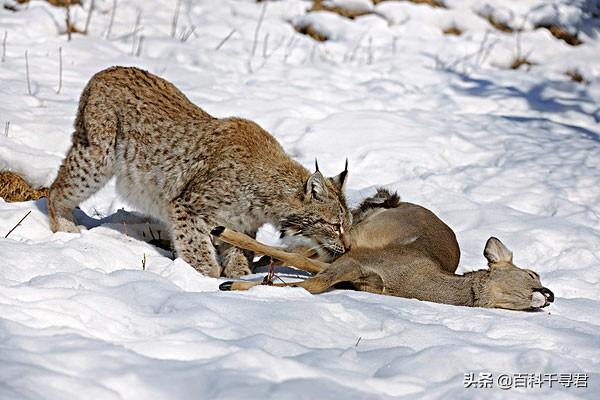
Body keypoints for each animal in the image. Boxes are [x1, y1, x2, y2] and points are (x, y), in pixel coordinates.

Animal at [213, 189, 556, 310]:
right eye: (531, 273)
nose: (549, 295)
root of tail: (397, 200)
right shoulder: (360, 258)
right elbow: (311, 282)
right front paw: (231, 282)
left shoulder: (358, 271)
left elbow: (310, 280)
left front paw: (235, 283)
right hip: (354, 234)